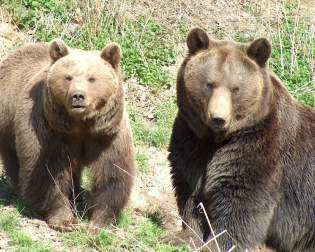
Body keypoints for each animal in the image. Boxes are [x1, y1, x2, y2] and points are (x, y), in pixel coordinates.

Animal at [0, 39, 135, 232]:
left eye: (92, 78)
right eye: (68, 77)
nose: (77, 96)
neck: (81, 124)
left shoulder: (107, 134)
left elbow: (112, 172)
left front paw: (99, 221)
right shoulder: (49, 130)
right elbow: (47, 173)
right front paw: (66, 220)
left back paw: (78, 193)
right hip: (8, 124)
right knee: (15, 161)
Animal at [170, 26, 315, 251]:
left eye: (235, 88)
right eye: (209, 84)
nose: (218, 118)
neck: (218, 138)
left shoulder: (260, 149)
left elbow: (240, 206)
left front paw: (220, 243)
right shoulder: (192, 140)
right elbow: (190, 191)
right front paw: (185, 236)